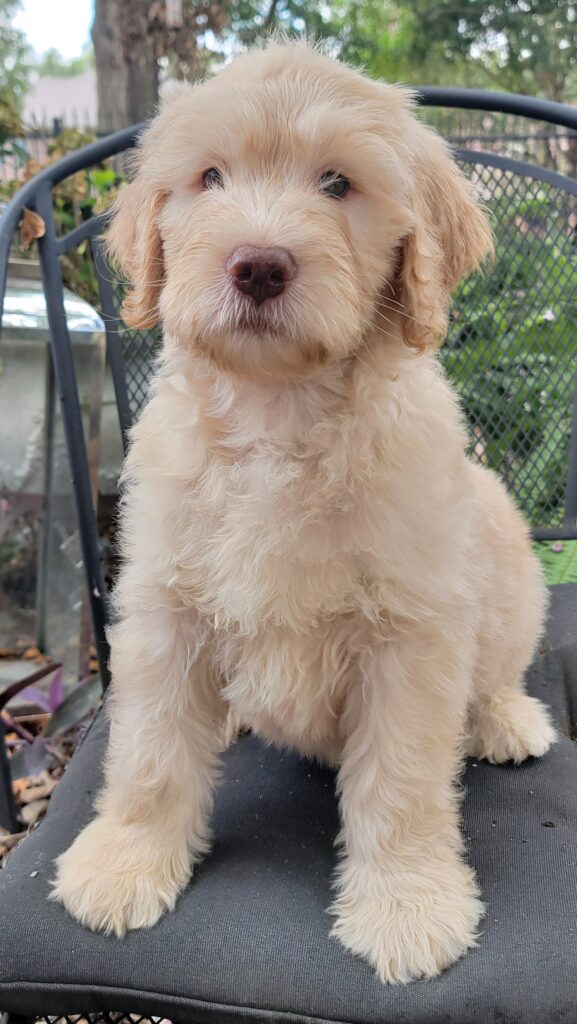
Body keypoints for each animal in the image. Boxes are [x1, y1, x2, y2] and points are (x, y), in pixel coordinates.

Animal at [53, 39, 553, 983]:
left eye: (336, 183)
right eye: (210, 177)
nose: (258, 264)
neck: (276, 414)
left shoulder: (411, 633)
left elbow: (401, 782)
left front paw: (405, 905)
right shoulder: (163, 605)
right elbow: (148, 752)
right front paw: (125, 862)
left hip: (507, 557)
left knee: (499, 668)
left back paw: (505, 719)